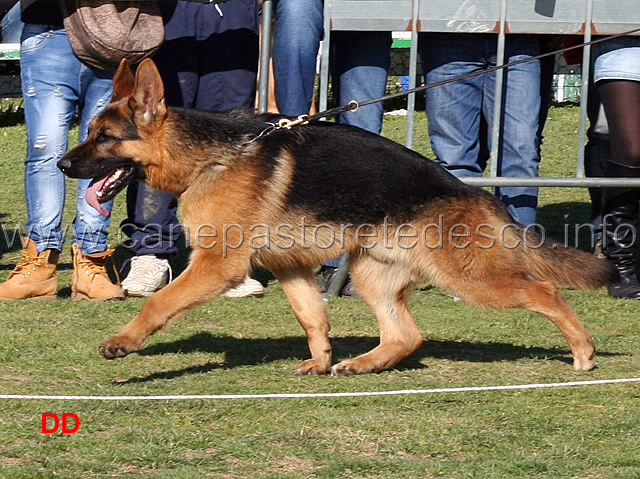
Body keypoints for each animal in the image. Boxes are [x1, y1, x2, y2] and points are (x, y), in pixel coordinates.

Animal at [58, 59, 616, 376]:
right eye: (89, 132)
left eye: (105, 138)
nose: (62, 165)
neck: (213, 157)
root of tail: (470, 192)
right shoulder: (290, 267)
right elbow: (313, 317)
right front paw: (321, 360)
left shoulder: (218, 266)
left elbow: (159, 304)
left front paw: (123, 342)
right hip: (371, 275)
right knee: (405, 336)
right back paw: (360, 365)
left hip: (471, 278)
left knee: (544, 291)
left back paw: (584, 350)